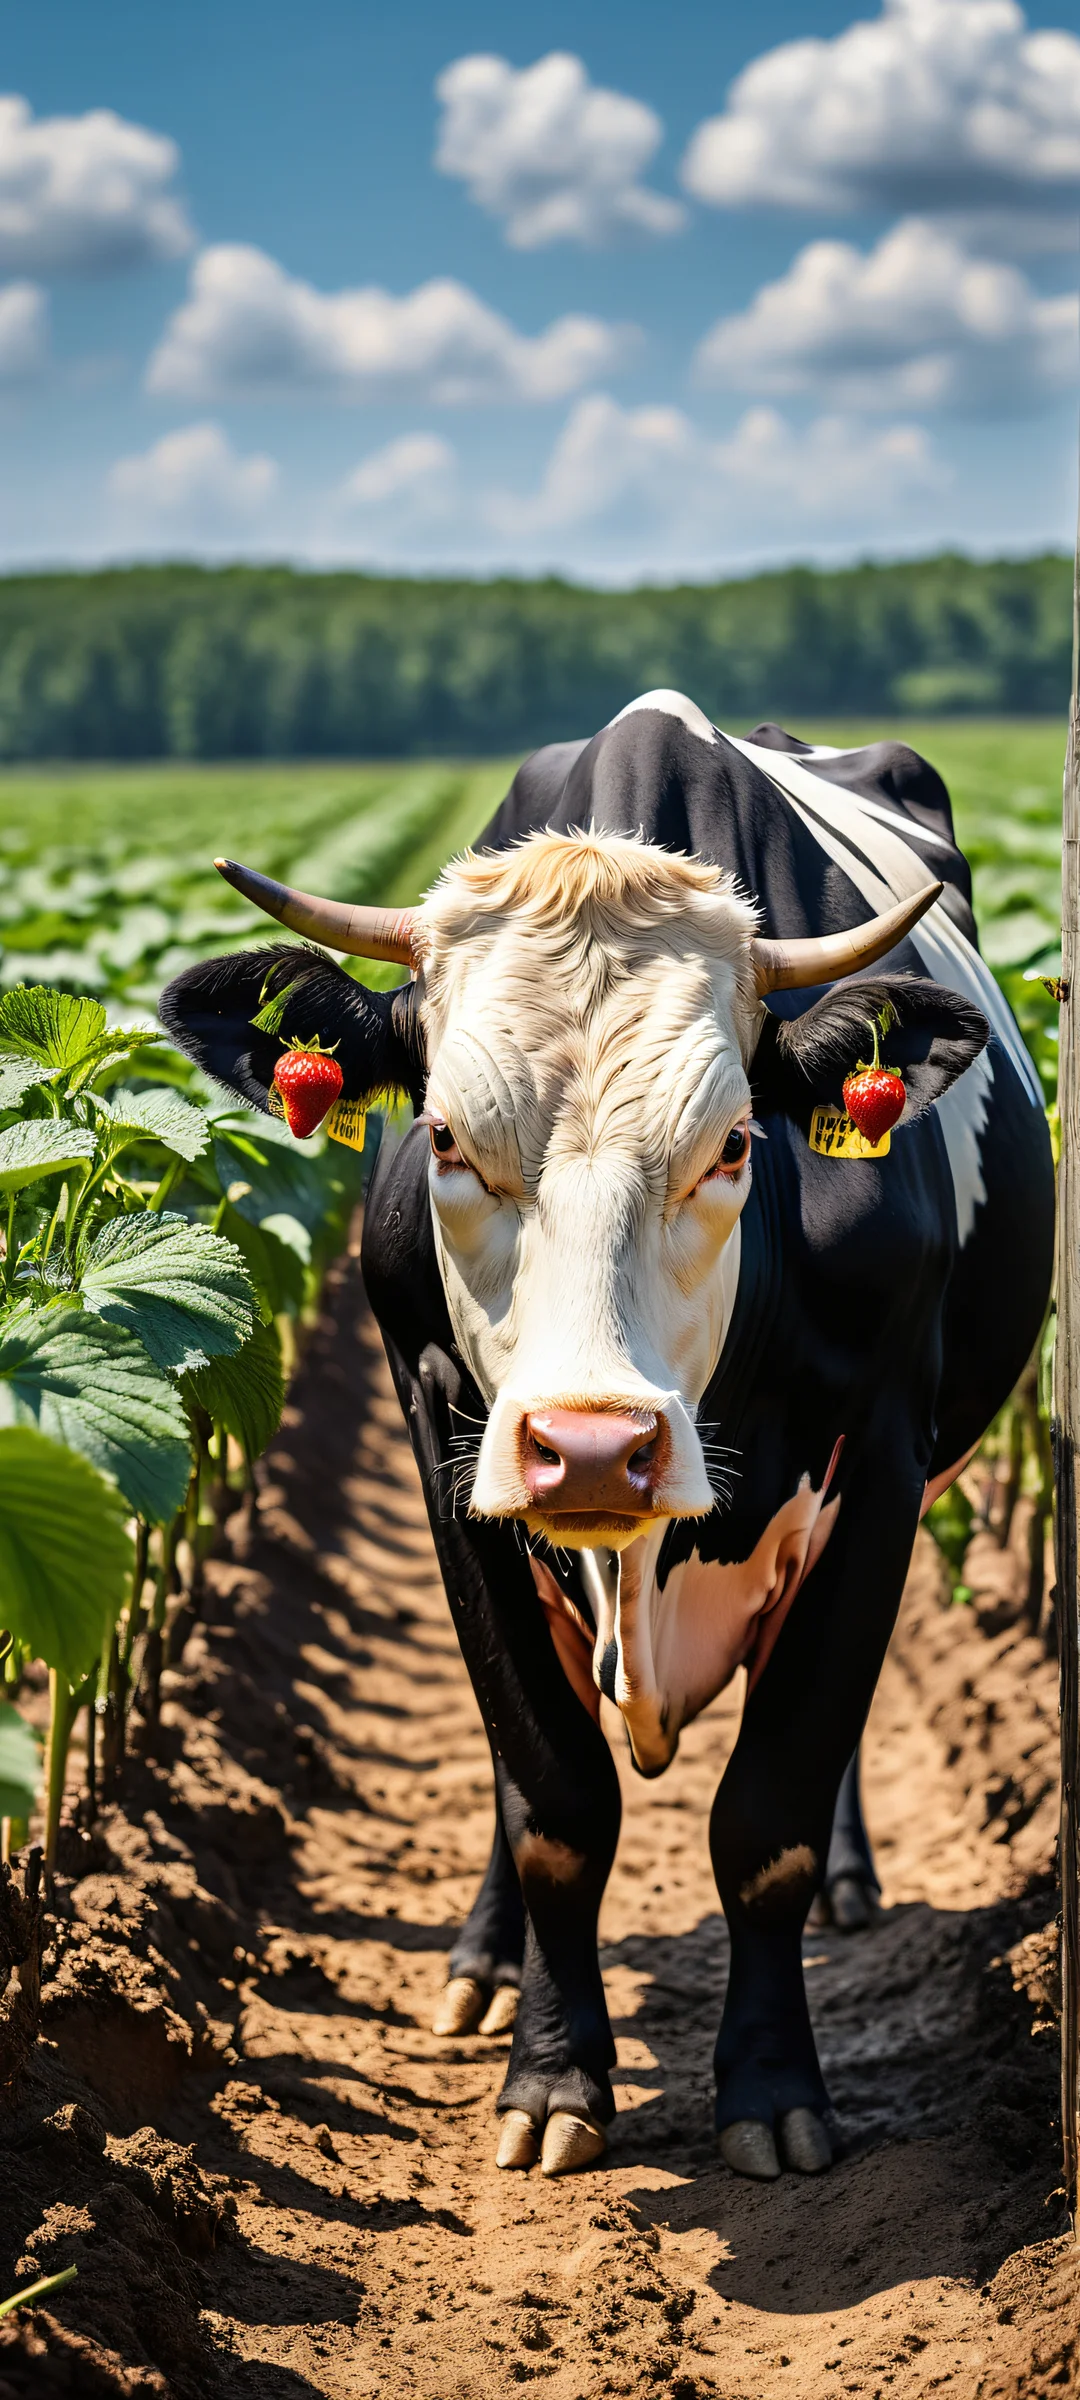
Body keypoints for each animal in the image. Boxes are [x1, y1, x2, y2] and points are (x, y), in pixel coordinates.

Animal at [161, 692, 1055, 2185]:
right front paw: (551, 2078)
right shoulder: (443, 1438)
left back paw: (853, 1880)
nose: (589, 1449)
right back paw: (482, 1963)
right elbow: (552, 1800)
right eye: (444, 1138)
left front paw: (773, 2089)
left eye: (737, 1144)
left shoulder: (881, 1455)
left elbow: (770, 1814)